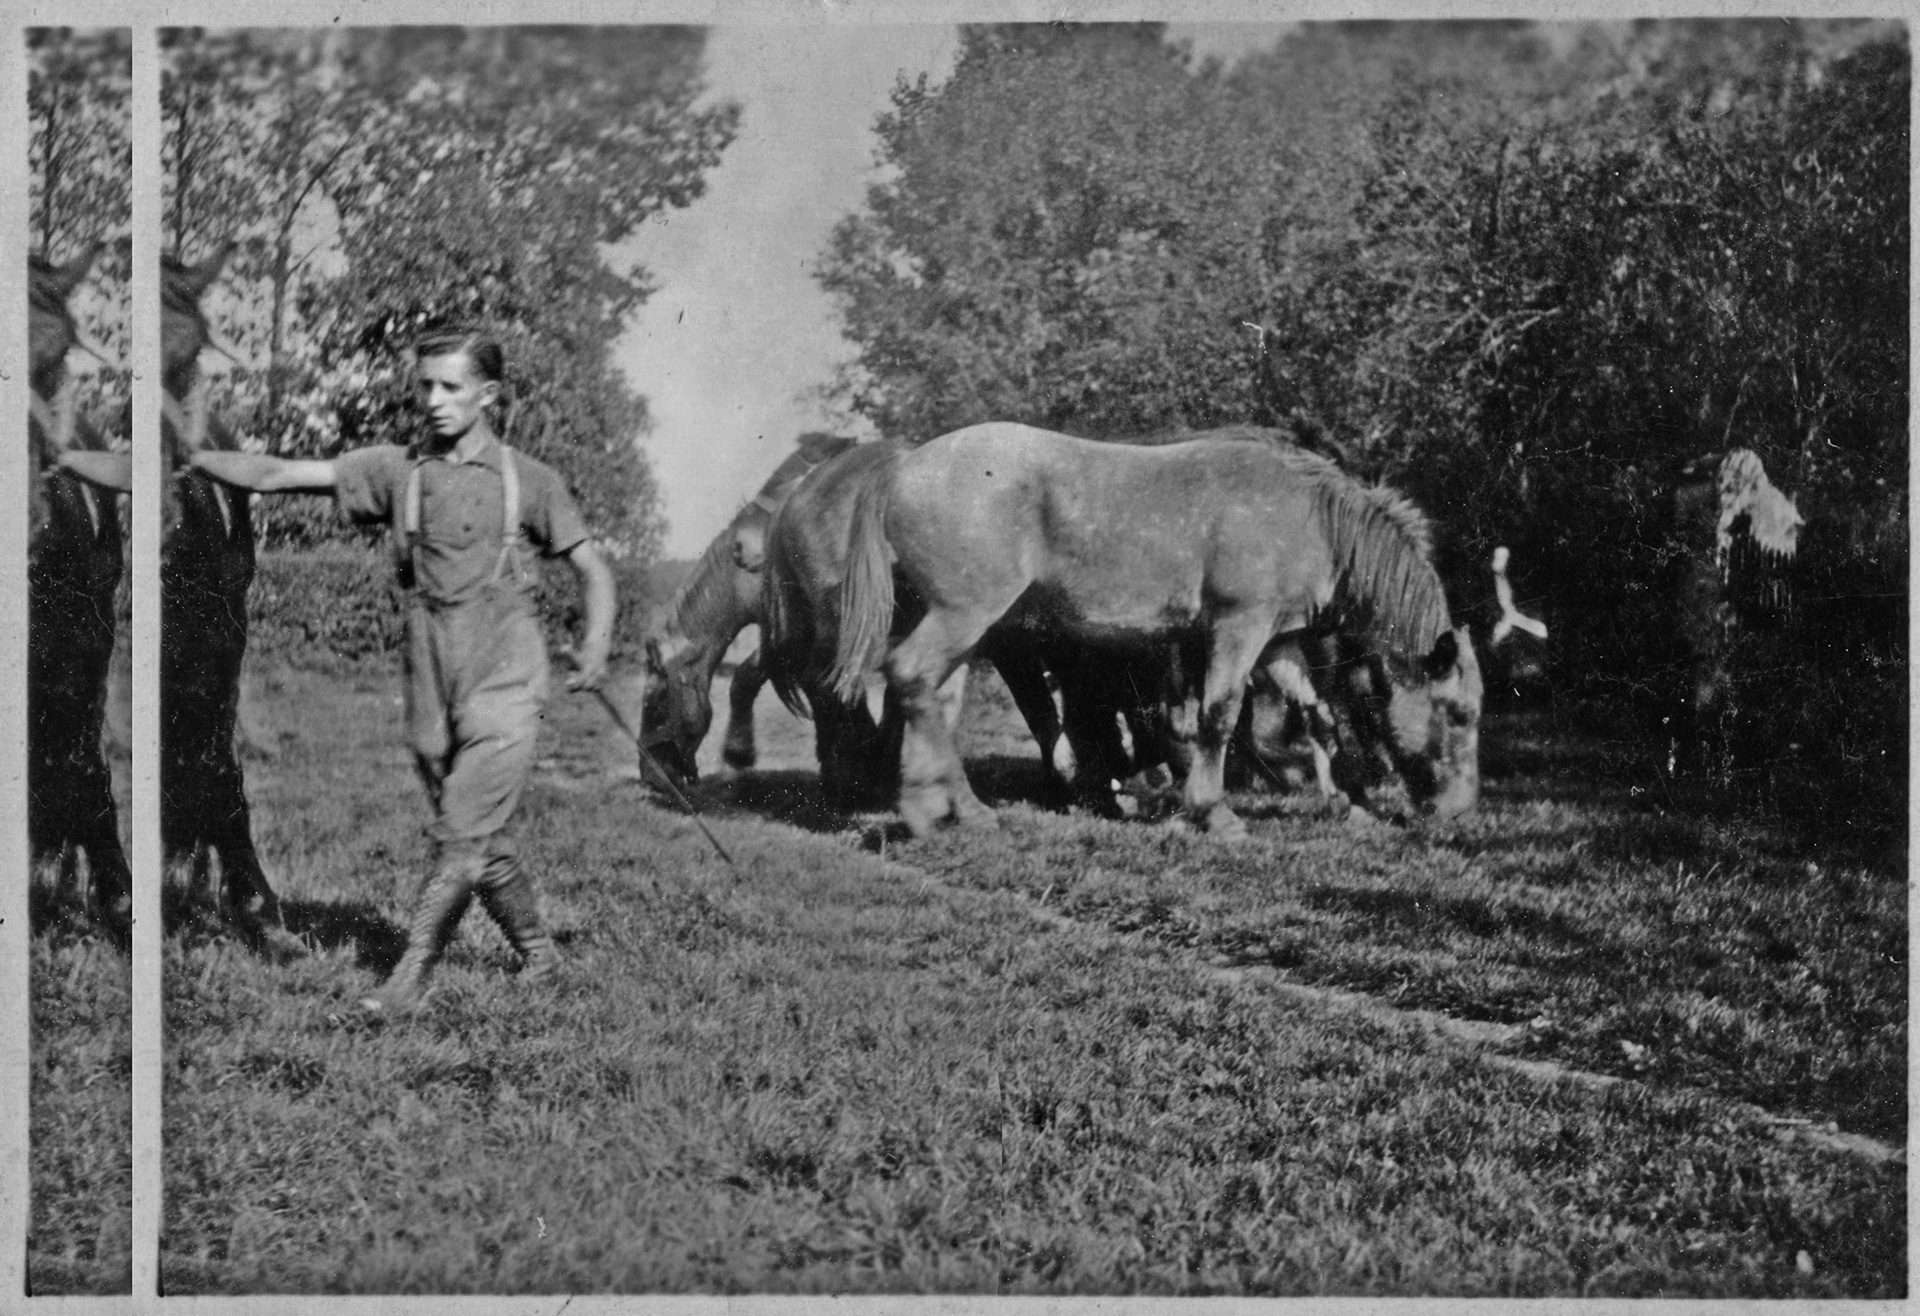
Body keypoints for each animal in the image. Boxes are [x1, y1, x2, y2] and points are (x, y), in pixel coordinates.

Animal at [833, 426, 1474, 837]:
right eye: (1461, 714)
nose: (1460, 811)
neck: (1308, 515)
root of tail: (905, 467)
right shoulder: (1238, 629)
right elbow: (1218, 716)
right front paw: (1213, 812)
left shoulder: (1277, 642)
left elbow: (1318, 715)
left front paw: (1348, 801)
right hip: (962, 615)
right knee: (911, 677)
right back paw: (924, 811)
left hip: (966, 631)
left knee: (933, 701)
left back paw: (962, 808)